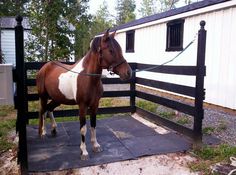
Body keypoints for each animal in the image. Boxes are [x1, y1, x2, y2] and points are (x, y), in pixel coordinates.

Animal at [36, 29, 133, 160]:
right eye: (111, 50)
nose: (128, 72)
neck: (88, 77)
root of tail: (44, 68)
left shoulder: (95, 105)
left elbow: (93, 125)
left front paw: (96, 146)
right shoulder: (82, 106)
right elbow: (83, 129)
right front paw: (84, 151)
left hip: (57, 98)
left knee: (49, 109)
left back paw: (54, 130)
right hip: (43, 96)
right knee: (42, 111)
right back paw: (42, 133)